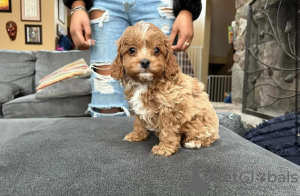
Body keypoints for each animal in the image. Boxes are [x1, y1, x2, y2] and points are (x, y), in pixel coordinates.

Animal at [111, 21, 219, 156]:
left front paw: (164, 149)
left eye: (157, 50)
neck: (145, 83)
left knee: (207, 136)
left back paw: (194, 142)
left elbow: (168, 130)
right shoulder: (137, 106)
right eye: (131, 50)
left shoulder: (169, 108)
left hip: (200, 122)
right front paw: (137, 135)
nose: (145, 62)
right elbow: (139, 122)